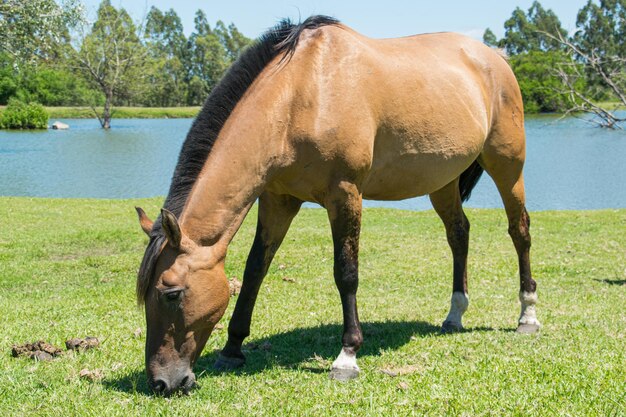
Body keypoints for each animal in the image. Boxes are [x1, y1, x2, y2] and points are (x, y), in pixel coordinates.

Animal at [134, 15, 540, 394]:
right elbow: (254, 270)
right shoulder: (278, 199)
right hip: (443, 181)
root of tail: (494, 57)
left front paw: (347, 357)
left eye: (171, 293)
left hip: (507, 165)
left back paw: (528, 315)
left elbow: (346, 272)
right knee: (459, 234)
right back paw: (455, 315)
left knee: (519, 231)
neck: (302, 92)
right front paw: (233, 349)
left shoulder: (344, 194)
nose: (162, 382)